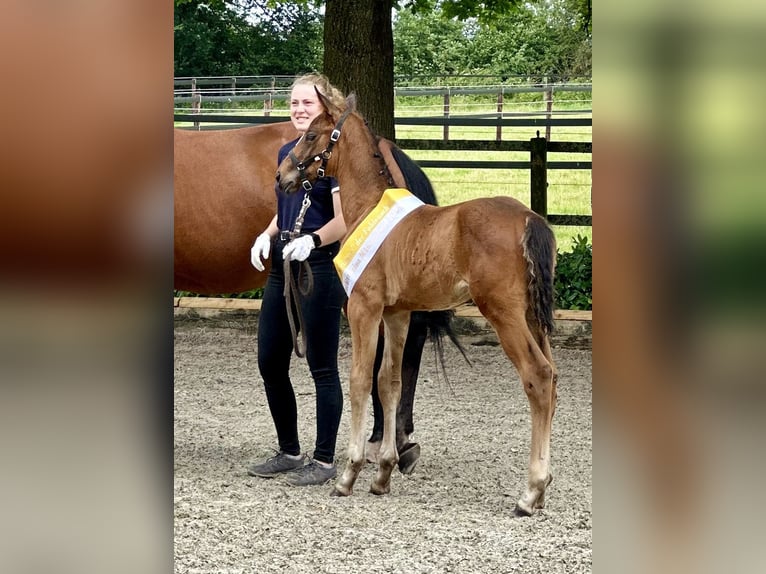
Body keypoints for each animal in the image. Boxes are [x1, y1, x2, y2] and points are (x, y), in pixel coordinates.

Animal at [276, 93, 560, 516]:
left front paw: (349, 474)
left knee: (538, 376)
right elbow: (390, 381)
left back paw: (530, 493)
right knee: (553, 377)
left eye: (311, 134)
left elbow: (360, 379)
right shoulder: (398, 314)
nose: (281, 175)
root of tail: (529, 218)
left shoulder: (364, 308)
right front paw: (383, 473)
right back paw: (541, 491)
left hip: (504, 314)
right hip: (533, 317)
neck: (367, 208)